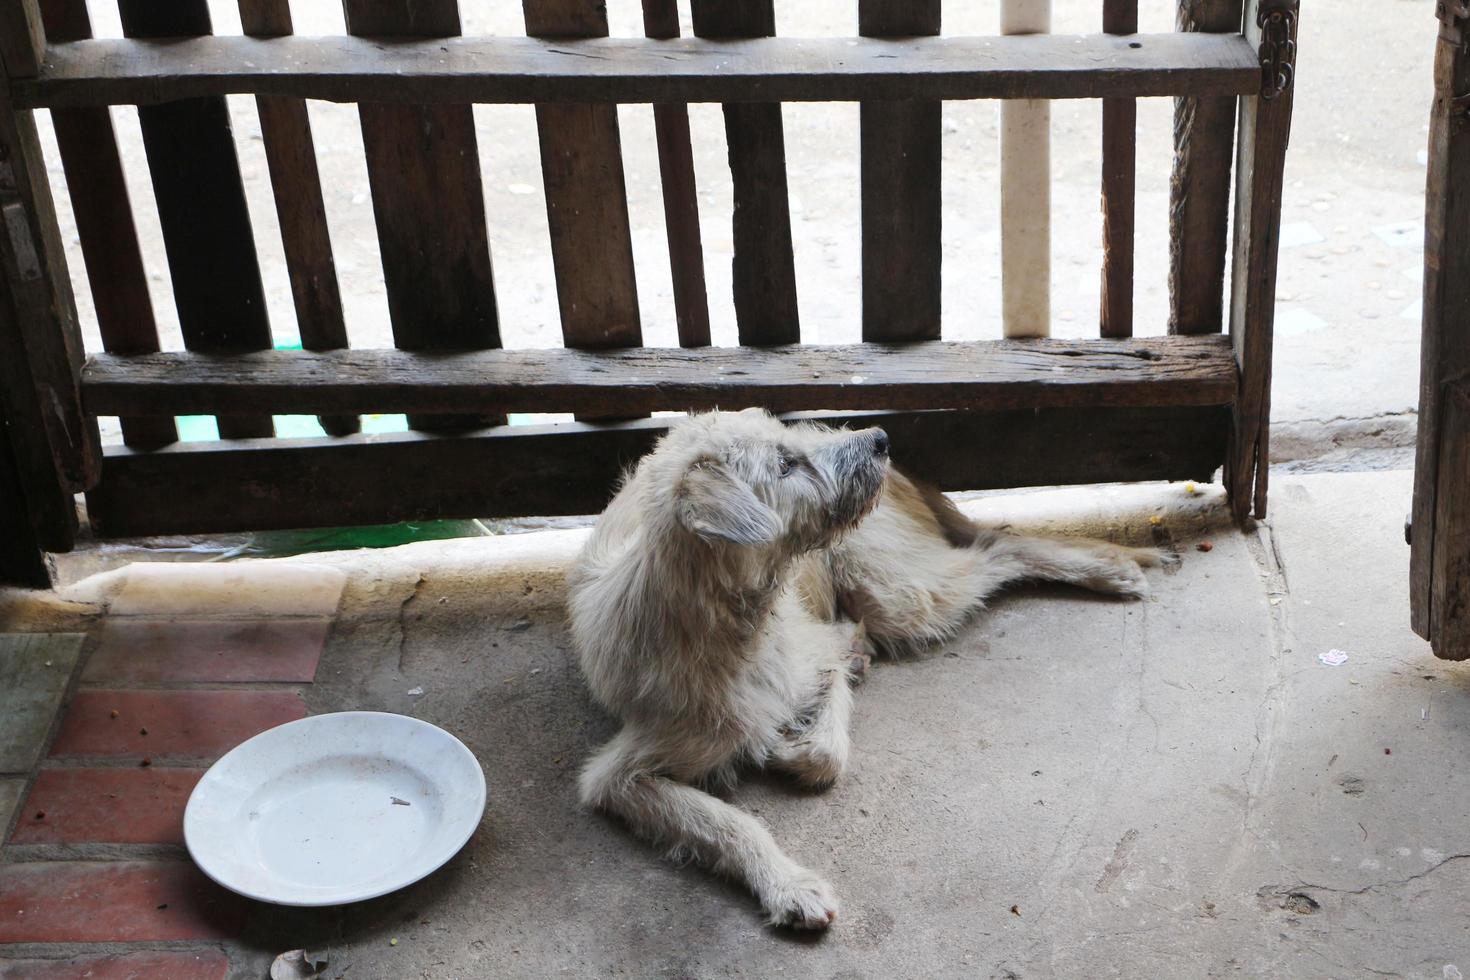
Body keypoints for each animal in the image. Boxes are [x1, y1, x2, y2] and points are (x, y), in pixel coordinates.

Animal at [567, 411, 1164, 934]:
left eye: (787, 439)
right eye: (785, 464)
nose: (879, 438)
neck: (737, 625)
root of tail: (905, 475)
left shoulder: (815, 652)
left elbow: (826, 749)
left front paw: (789, 749)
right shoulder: (622, 776)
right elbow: (726, 818)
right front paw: (789, 885)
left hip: (895, 591)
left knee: (1000, 543)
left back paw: (1110, 569)